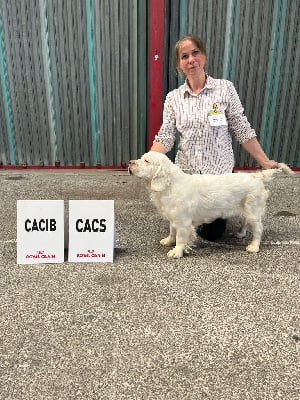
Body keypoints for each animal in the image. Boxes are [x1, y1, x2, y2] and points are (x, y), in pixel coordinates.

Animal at [128, 152, 292, 258]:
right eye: (141, 158)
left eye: (147, 161)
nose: (130, 162)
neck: (170, 185)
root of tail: (256, 176)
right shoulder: (173, 218)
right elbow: (172, 231)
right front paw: (168, 241)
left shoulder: (183, 222)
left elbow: (180, 238)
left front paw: (176, 252)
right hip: (245, 209)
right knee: (245, 223)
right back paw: (240, 234)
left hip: (253, 210)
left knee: (258, 229)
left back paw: (254, 246)